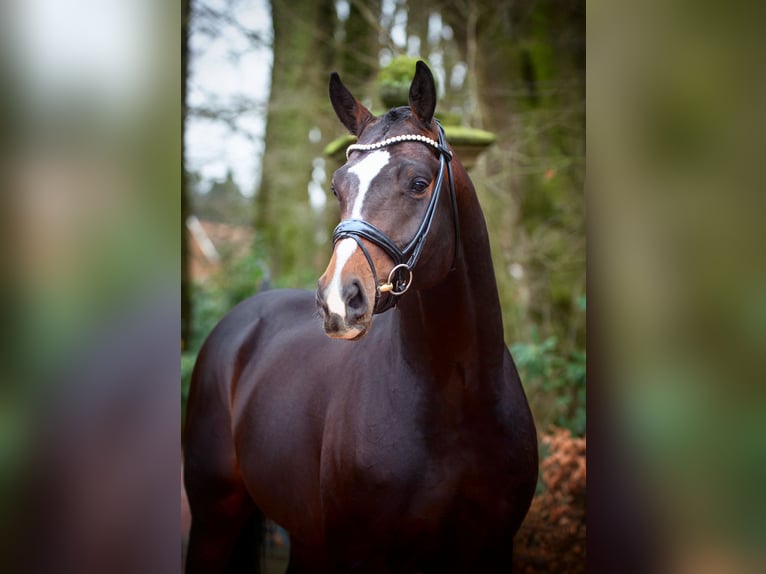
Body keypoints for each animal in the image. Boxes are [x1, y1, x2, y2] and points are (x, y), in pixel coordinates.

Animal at [183, 61, 538, 574]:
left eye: (418, 183)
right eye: (336, 186)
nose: (338, 300)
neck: (459, 399)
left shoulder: (493, 548)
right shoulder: (362, 551)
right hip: (215, 516)